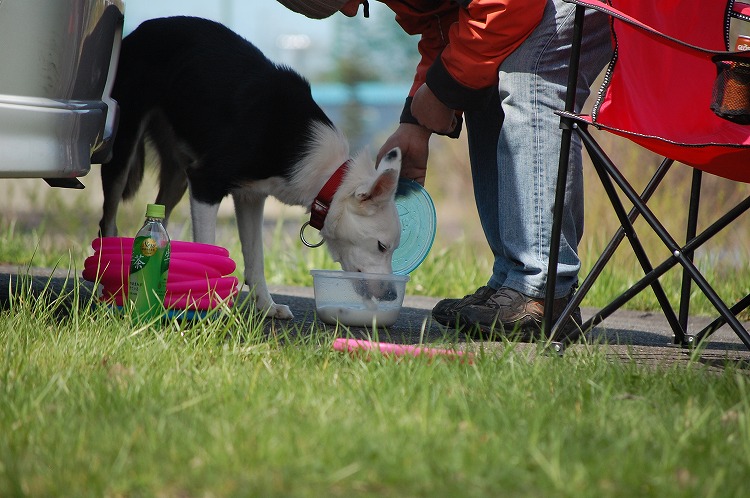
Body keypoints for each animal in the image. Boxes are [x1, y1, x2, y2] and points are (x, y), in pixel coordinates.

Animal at [102, 17, 406, 320]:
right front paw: (213, 305)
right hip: (124, 143)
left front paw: (266, 305)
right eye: (382, 246)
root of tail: (142, 28)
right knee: (108, 219)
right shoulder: (205, 183)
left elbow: (255, 256)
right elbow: (208, 246)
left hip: (177, 174)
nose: (391, 295)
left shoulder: (251, 197)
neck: (328, 175)